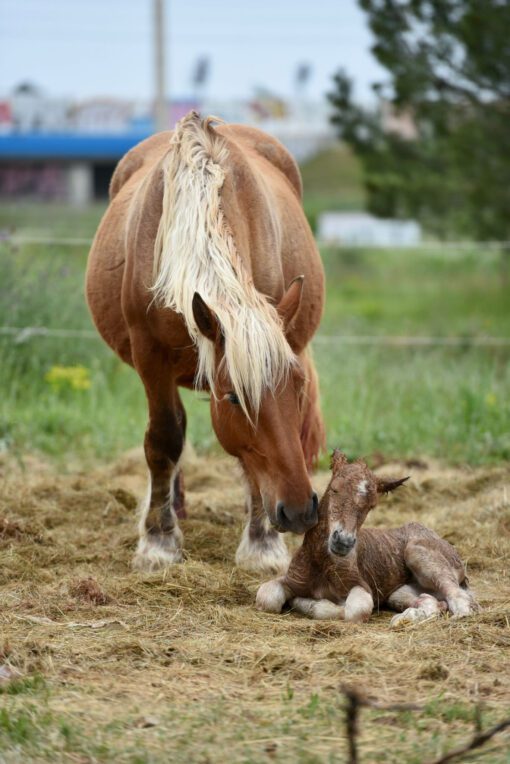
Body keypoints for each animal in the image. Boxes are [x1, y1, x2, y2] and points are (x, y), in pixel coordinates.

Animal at [85, 109, 324, 572]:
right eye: (233, 398)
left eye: (298, 389)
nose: (301, 510)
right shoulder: (151, 356)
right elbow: (164, 438)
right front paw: (159, 541)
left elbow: (249, 462)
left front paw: (262, 544)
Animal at [256, 450, 480, 624]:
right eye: (334, 489)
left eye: (372, 505)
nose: (343, 541)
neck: (320, 560)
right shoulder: (291, 580)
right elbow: (266, 597)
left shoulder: (361, 586)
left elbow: (354, 611)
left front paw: (308, 603)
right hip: (401, 592)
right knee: (432, 601)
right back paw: (404, 619)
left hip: (419, 552)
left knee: (461, 598)